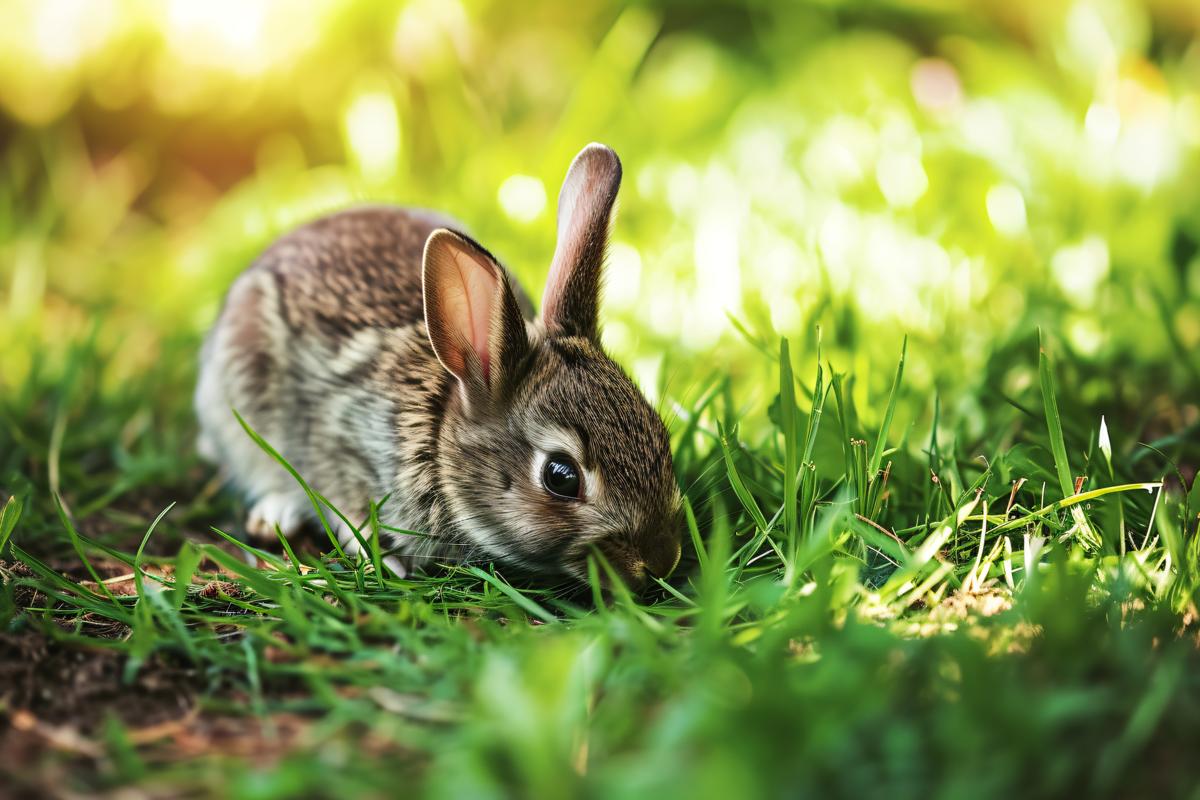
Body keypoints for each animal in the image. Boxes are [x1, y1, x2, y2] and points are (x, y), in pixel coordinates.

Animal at [195, 143, 686, 587]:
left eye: (661, 436)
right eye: (561, 477)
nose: (660, 562)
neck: (436, 436)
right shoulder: (339, 442)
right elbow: (344, 504)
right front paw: (383, 559)